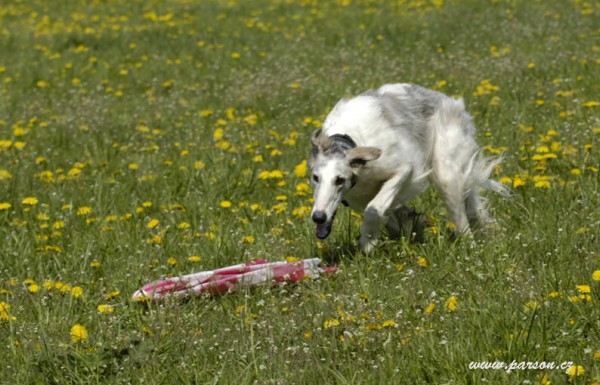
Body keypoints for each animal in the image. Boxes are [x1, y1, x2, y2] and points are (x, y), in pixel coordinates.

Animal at [310, 83, 506, 252]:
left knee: (462, 221)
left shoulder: (404, 169)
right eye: (315, 178)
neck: (349, 138)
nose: (318, 217)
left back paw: (470, 248)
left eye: (339, 180)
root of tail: (452, 102)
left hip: (446, 173)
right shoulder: (356, 196)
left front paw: (368, 241)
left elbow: (374, 209)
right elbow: (390, 217)